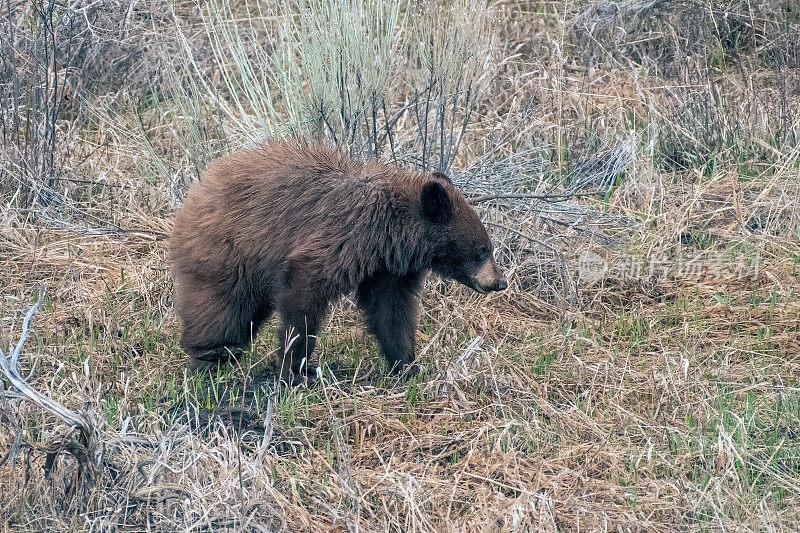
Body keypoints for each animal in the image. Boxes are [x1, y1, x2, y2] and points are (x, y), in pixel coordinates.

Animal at [169, 140, 506, 382]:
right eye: (482, 249)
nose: (500, 281)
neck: (390, 232)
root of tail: (199, 188)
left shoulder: (387, 268)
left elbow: (391, 310)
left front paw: (406, 365)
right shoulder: (345, 236)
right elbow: (305, 288)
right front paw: (297, 367)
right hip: (232, 249)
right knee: (222, 305)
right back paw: (212, 353)